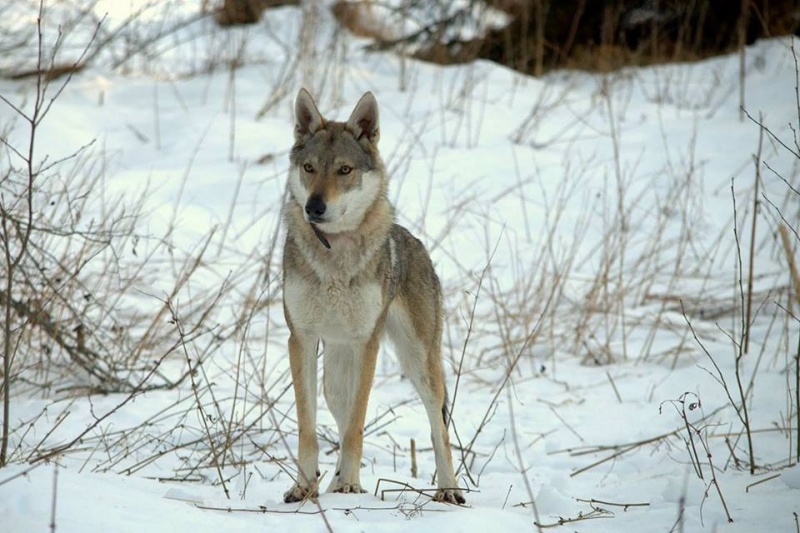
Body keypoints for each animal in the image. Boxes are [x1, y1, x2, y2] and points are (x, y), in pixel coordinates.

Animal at [282, 87, 466, 502]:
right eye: (310, 168)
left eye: (344, 170)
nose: (314, 207)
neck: (334, 257)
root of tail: (414, 241)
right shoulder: (301, 339)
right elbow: (307, 429)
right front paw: (304, 487)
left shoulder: (368, 342)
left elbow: (356, 427)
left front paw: (351, 484)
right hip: (334, 377)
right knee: (340, 413)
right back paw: (330, 482)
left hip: (420, 364)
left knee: (439, 428)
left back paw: (448, 490)